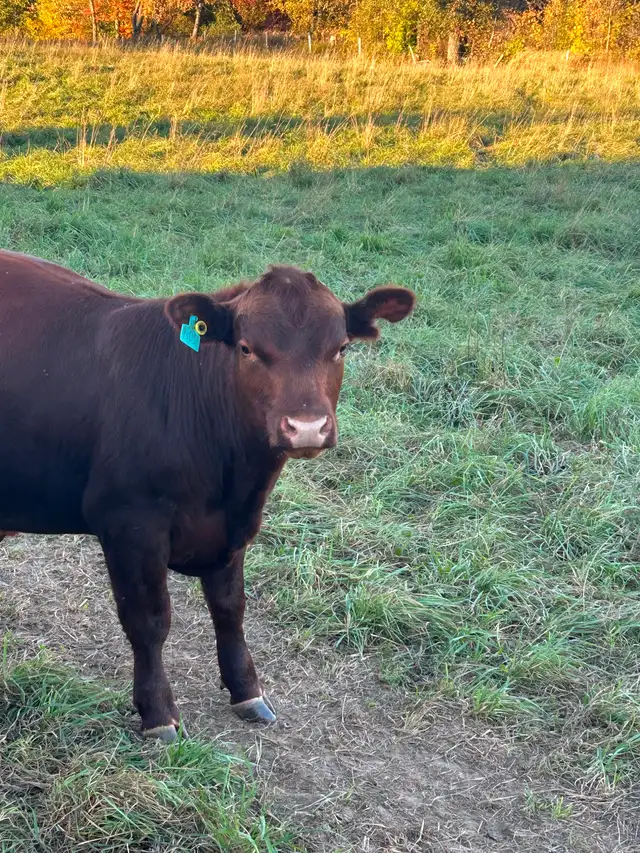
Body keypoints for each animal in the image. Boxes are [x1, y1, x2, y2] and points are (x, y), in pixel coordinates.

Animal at [0, 250, 415, 741]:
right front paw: (158, 713)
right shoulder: (129, 522)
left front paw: (247, 691)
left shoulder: (234, 528)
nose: (306, 427)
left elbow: (230, 609)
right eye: (247, 348)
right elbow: (149, 621)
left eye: (341, 348)